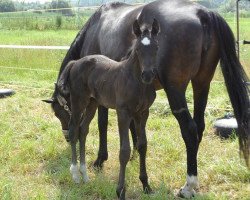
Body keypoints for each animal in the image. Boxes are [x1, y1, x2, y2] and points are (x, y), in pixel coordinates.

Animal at [45, 0, 250, 197]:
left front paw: (100, 159)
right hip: (201, 83)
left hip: (175, 91)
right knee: (199, 126)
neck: (95, 28)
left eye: (58, 112)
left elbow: (102, 124)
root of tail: (203, 13)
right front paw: (135, 151)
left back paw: (187, 186)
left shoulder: (103, 98)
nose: (66, 137)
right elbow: (133, 129)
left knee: (190, 130)